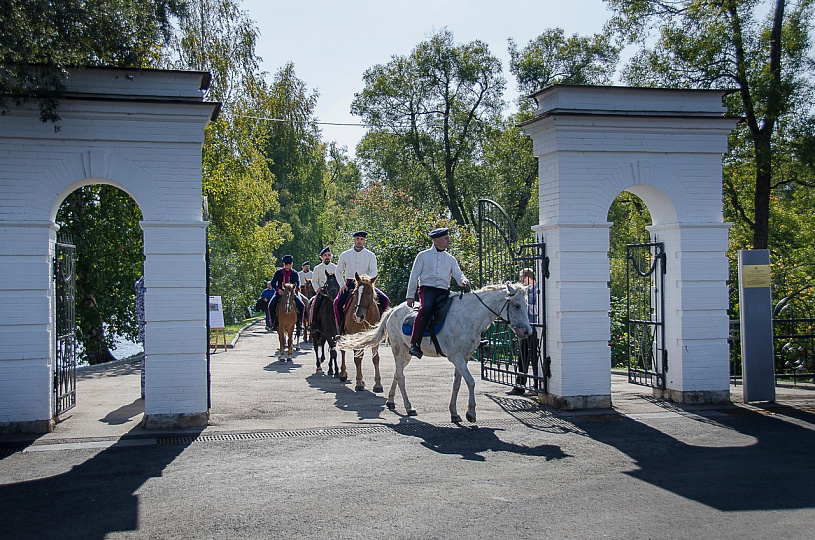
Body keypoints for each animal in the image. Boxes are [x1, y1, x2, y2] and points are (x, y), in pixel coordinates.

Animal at [336, 280, 532, 424]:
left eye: (526, 304)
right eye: (516, 306)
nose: (527, 332)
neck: (469, 316)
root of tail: (393, 310)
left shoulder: (464, 358)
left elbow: (457, 384)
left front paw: (454, 413)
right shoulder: (456, 358)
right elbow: (471, 382)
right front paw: (471, 412)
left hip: (407, 353)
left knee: (397, 374)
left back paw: (391, 401)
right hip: (399, 349)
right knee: (401, 377)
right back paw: (409, 407)